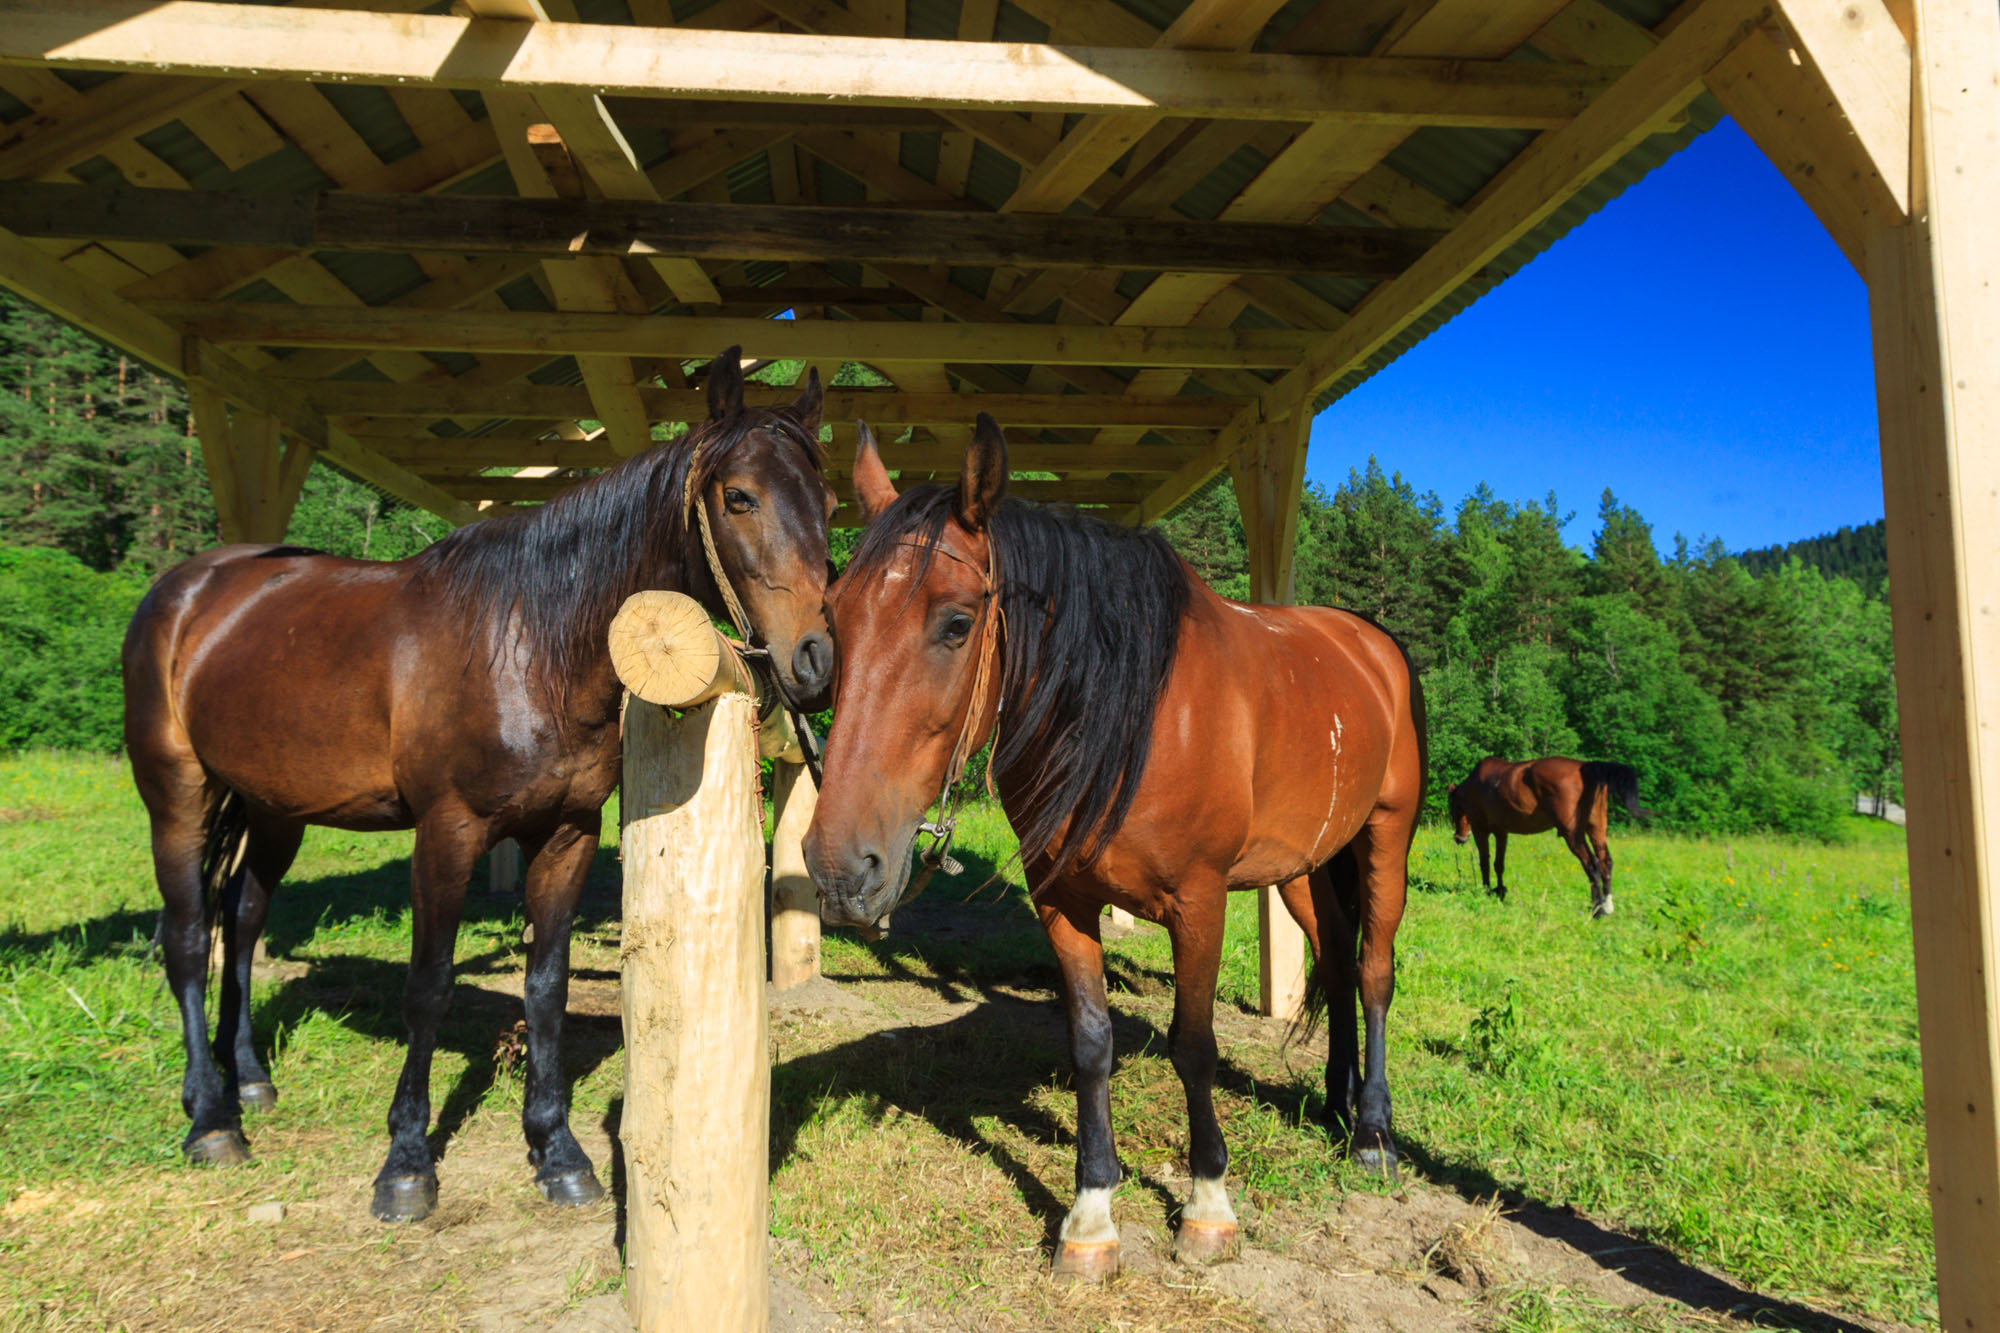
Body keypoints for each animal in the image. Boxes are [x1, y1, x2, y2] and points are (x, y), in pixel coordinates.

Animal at [119, 350, 836, 1216]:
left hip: (274, 808)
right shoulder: (447, 832)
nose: (815, 661)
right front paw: (405, 1163)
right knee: (191, 938)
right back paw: (211, 1118)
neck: (528, 643)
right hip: (176, 798)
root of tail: (187, 590)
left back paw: (249, 1078)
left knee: (246, 921)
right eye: (740, 497)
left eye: (829, 502)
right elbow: (427, 986)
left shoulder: (566, 835)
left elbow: (546, 986)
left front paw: (556, 1151)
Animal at [796, 416, 1424, 1280]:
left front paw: (1208, 1204)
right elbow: (1090, 1043)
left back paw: (1370, 1132)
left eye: (955, 622)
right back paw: (1334, 1100)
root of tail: (1369, 643)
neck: (1130, 712)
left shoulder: (1199, 901)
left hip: (1385, 835)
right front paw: (1091, 1210)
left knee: (1371, 972)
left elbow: (1194, 1044)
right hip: (1305, 864)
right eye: (838, 617)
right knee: (1332, 958)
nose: (837, 869)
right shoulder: (1062, 898)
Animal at [1448, 748, 1648, 912]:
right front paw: (1499, 892)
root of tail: (1585, 768)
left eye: (1453, 808)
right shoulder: (1501, 833)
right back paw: (1607, 906)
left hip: (1573, 834)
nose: (1459, 838)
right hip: (1596, 829)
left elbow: (1484, 863)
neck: (1476, 784)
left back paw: (1597, 910)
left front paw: (1486, 890)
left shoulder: (1480, 830)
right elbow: (1499, 864)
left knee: (1592, 865)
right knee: (1606, 862)